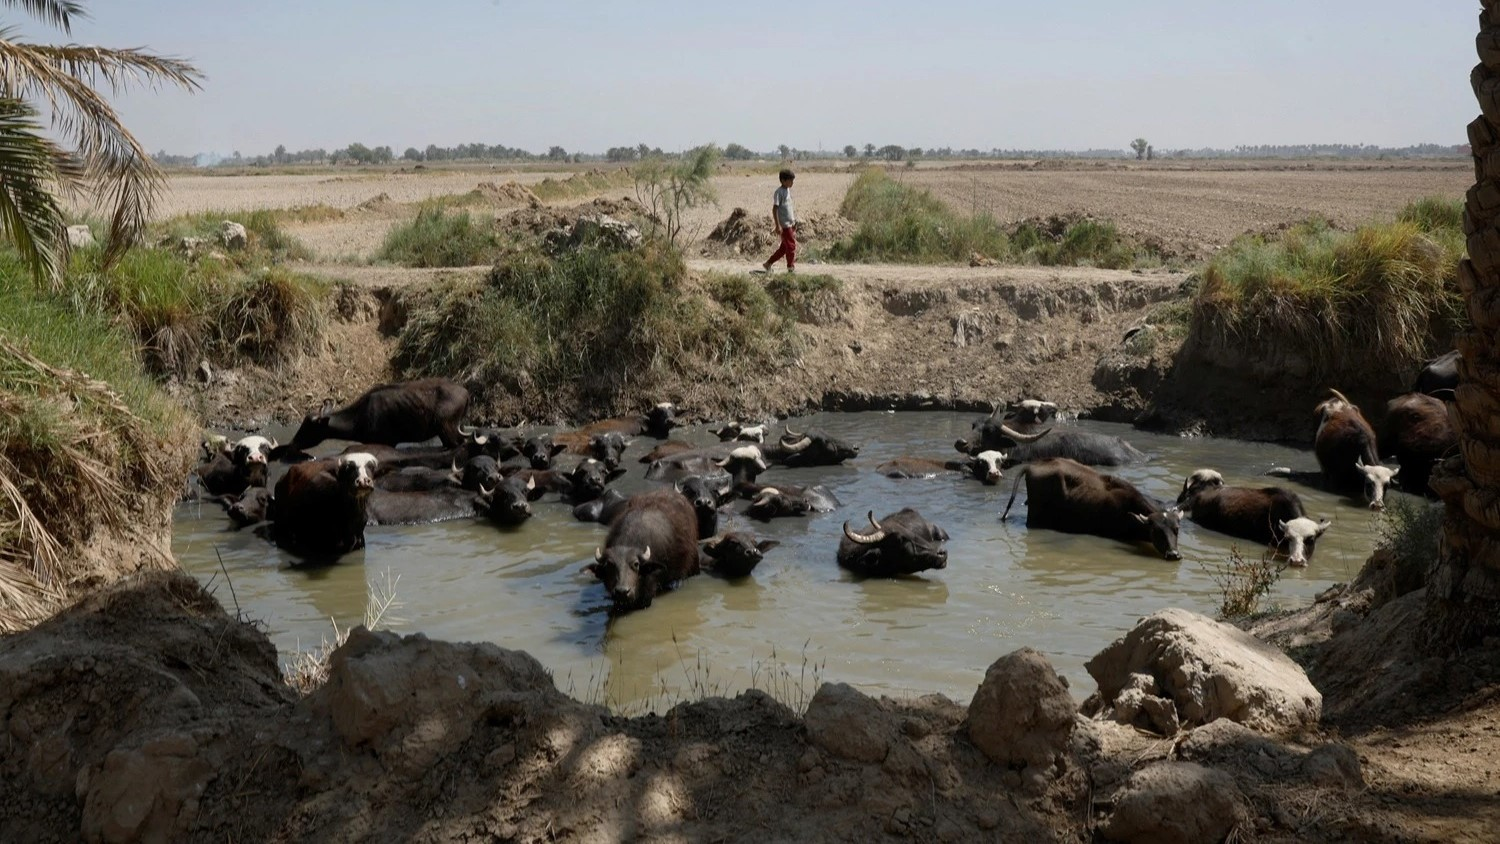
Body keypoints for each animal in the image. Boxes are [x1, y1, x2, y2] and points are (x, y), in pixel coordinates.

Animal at [279, 376, 468, 455]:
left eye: (309, 426)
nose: (291, 445)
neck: (359, 419)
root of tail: (466, 394)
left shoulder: (388, 442)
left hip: (447, 428)